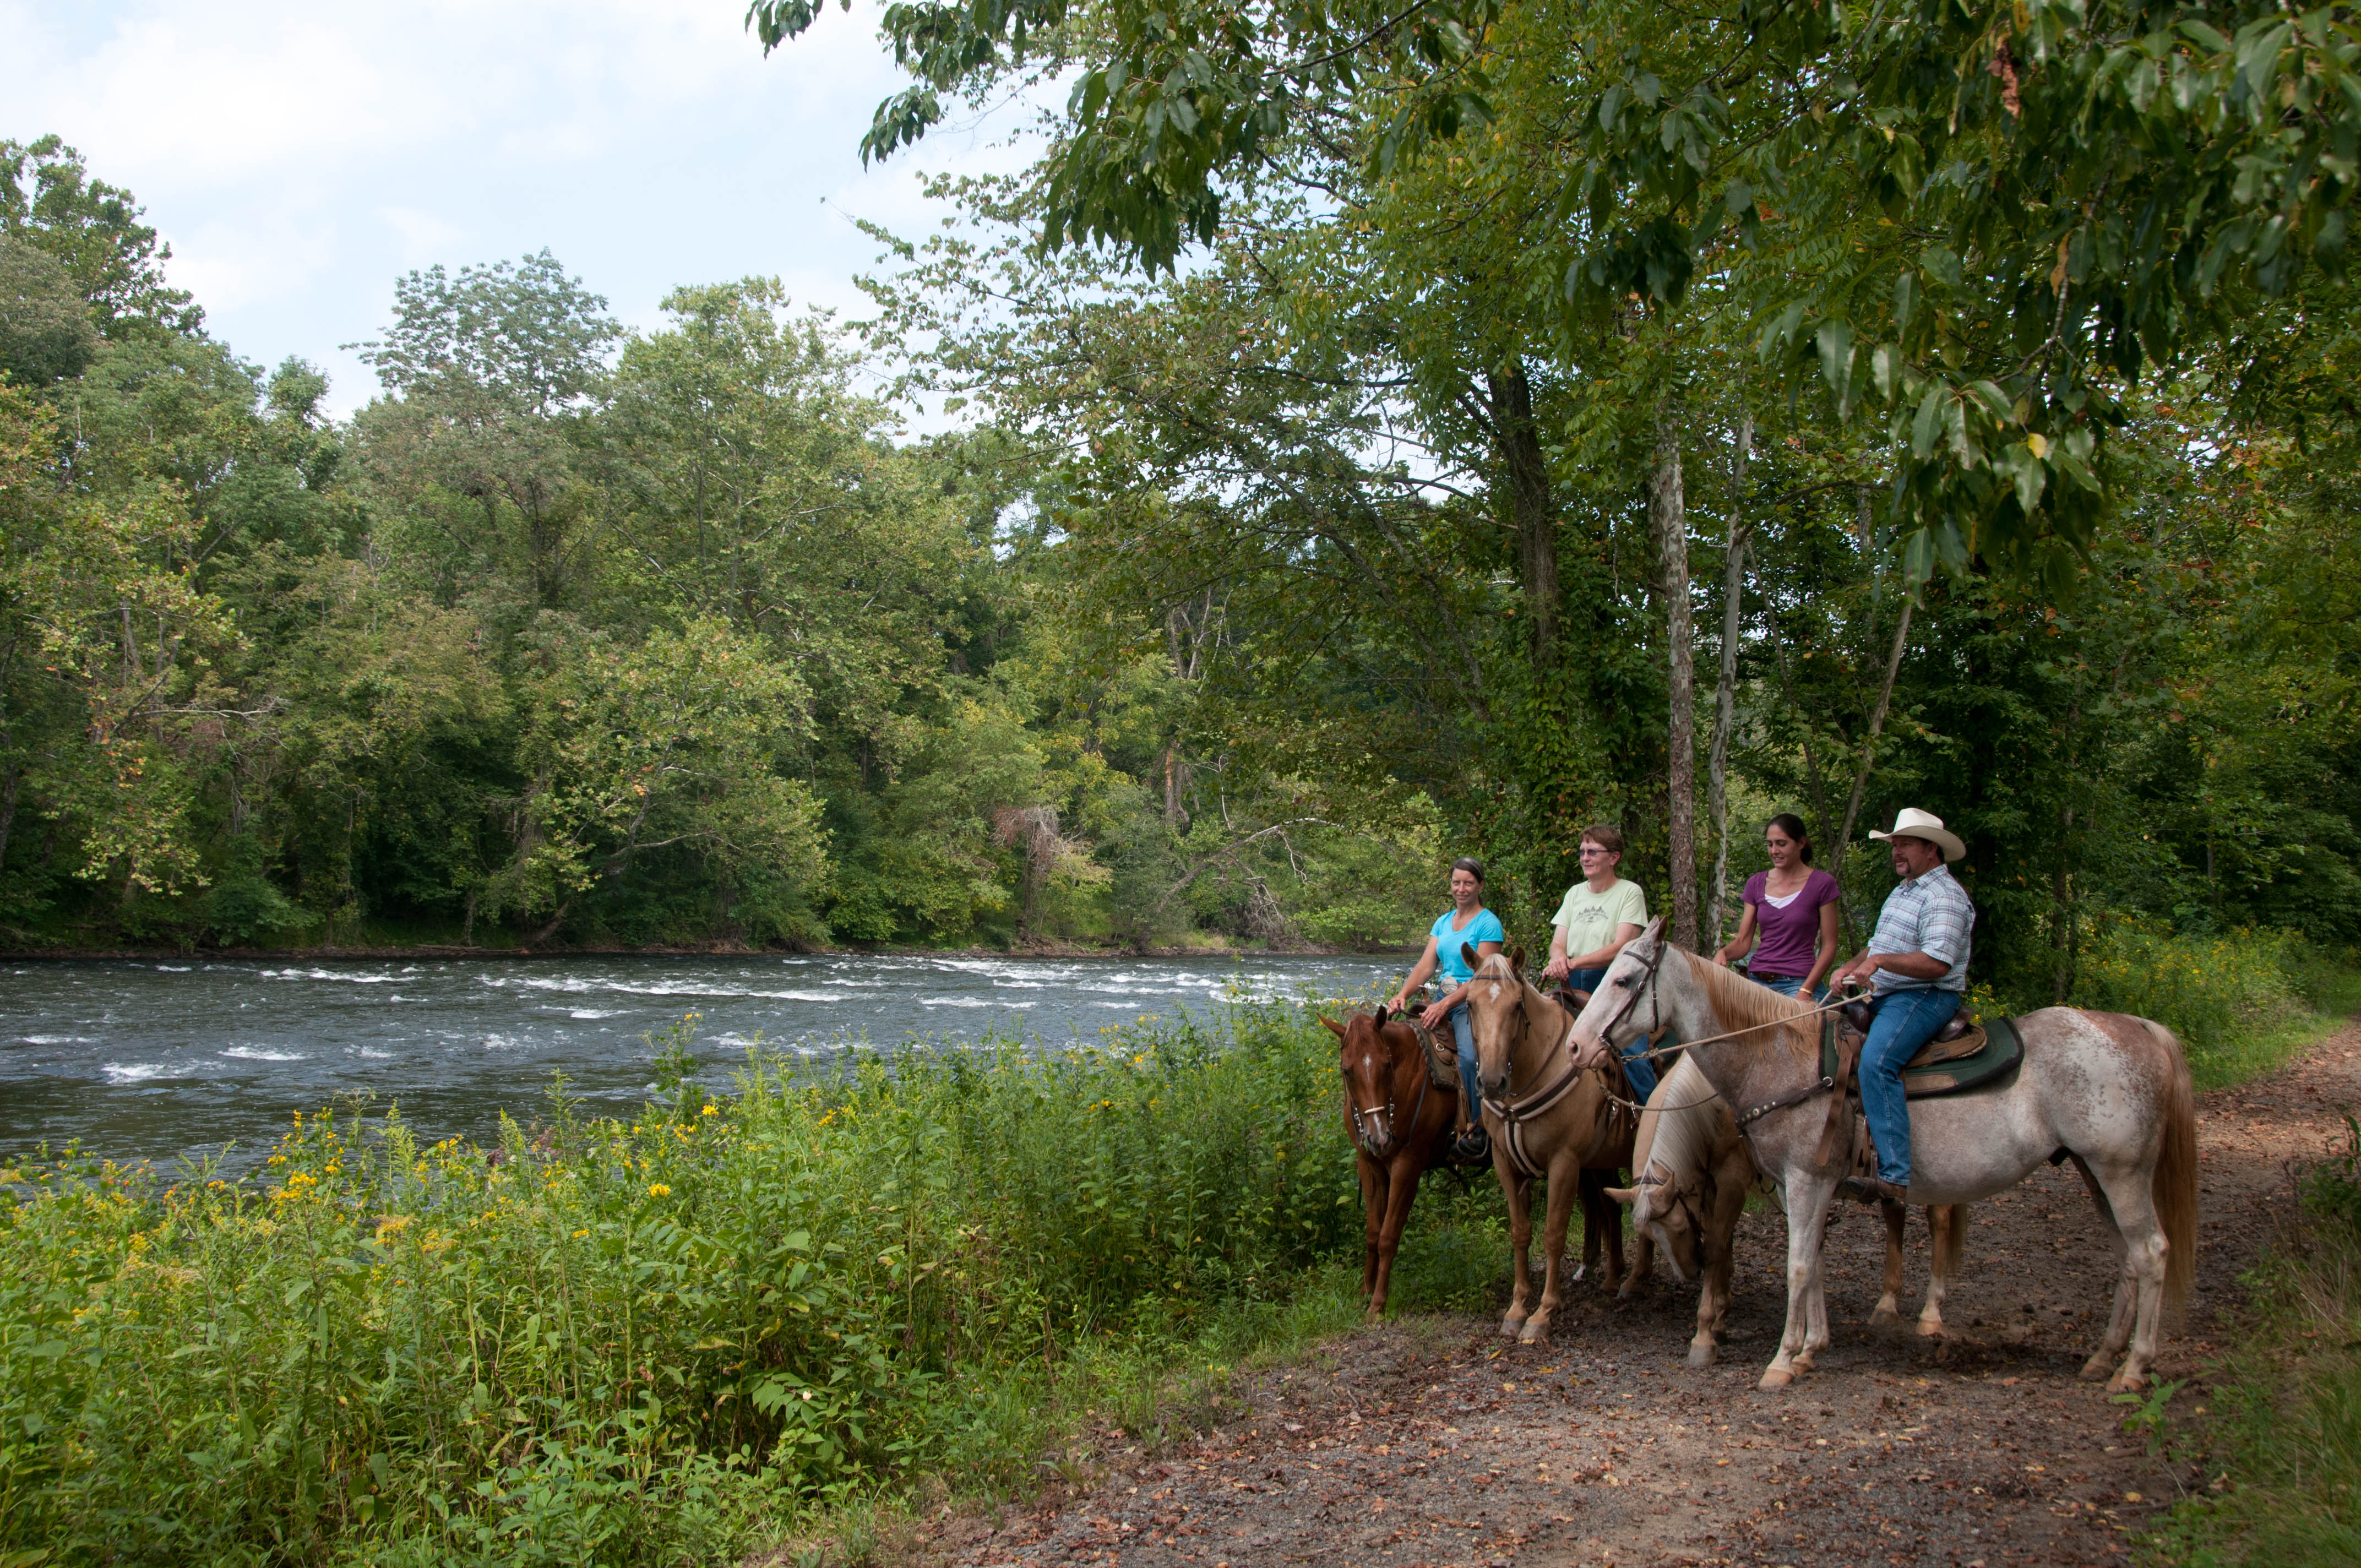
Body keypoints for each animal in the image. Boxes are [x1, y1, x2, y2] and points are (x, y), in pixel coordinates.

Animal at [1331, 1006, 1454, 1313]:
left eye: (1387, 1066)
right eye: (1347, 1071)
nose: (1379, 1138)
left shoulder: (1408, 1166)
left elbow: (1388, 1236)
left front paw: (1377, 1304)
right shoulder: (1369, 1164)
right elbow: (1373, 1234)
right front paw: (1365, 1292)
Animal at [1464, 949, 1652, 1341]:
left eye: (1517, 1005)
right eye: (1470, 1004)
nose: (1492, 1082)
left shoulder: (1564, 1163)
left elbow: (1553, 1234)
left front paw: (1544, 1313)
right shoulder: (1506, 1164)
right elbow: (1521, 1232)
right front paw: (1518, 1308)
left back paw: (1637, 1281)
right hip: (1601, 1163)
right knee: (1612, 1209)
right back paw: (1614, 1278)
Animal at [1605, 1048, 1973, 1369]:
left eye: (1680, 1228)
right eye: (1652, 1236)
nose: (1689, 1274)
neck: (1713, 1107)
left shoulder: (1733, 1179)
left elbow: (1717, 1246)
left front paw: (1708, 1332)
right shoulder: (1707, 1183)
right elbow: (1722, 1245)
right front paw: (1722, 1312)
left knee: (1939, 1221)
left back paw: (1930, 1313)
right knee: (1894, 1213)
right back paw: (1887, 1305)